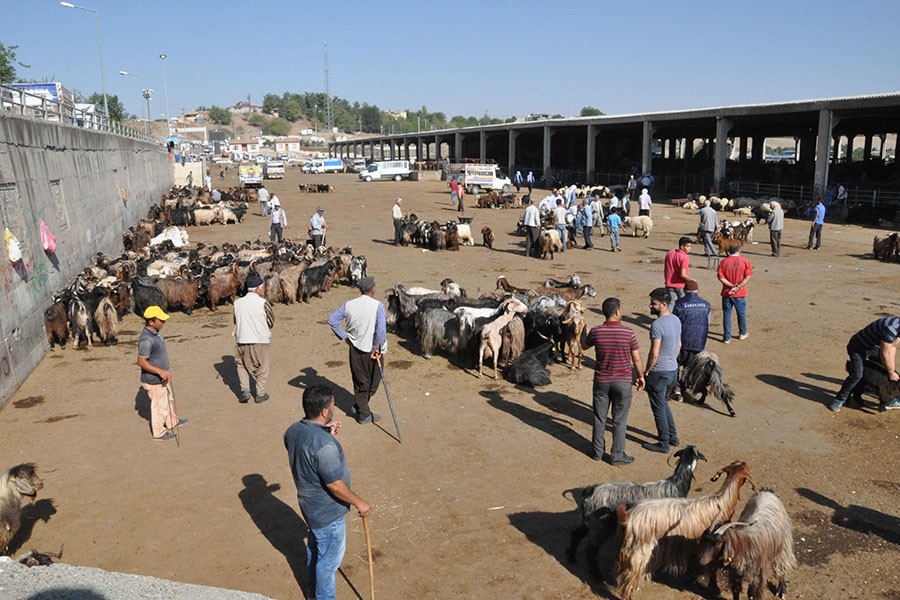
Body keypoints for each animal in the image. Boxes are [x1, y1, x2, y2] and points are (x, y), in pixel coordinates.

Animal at [568, 446, 708, 568]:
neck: (676, 485)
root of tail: (591, 491)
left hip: (588, 522)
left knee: (576, 534)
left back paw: (571, 558)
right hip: (601, 527)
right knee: (591, 550)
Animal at [616, 462, 756, 596]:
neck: (720, 503)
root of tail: (629, 517)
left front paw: (691, 580)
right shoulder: (710, 548)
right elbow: (712, 569)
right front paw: (714, 589)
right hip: (640, 554)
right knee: (627, 585)